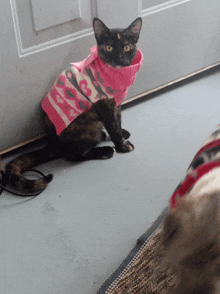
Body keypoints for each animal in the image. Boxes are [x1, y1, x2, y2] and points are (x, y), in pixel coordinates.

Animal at [5, 17, 144, 194]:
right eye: (109, 48)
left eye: (127, 47)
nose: (119, 59)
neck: (116, 76)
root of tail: (52, 143)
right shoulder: (103, 106)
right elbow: (112, 125)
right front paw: (122, 145)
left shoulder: (116, 103)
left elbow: (118, 119)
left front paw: (122, 133)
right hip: (84, 129)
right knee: (73, 155)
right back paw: (105, 150)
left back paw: (103, 136)